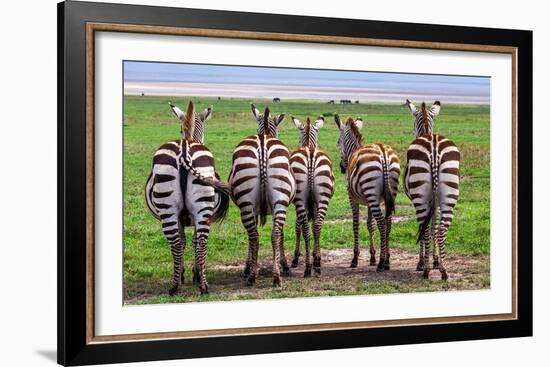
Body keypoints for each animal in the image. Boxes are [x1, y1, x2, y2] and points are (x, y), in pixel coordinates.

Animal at [144, 100, 231, 296]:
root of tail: (184, 149)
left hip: (172, 210)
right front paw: (192, 273)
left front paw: (187, 273)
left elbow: (186, 241)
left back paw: (179, 285)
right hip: (198, 209)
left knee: (180, 243)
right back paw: (201, 285)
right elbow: (190, 241)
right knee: (199, 242)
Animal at [229, 103, 298, 288]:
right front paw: (283, 265)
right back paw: (276, 276)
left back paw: (254, 275)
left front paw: (248, 267)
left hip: (248, 204)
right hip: (279, 200)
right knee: (274, 234)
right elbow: (280, 235)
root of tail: (263, 142)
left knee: (255, 236)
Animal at [292, 116, 334, 278]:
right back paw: (315, 265)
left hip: (301, 199)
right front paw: (318, 257)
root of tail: (310, 153)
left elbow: (297, 227)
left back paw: (309, 267)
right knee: (317, 226)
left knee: (306, 227)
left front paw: (295, 258)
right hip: (323, 198)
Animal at [334, 114, 404, 270]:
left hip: (371, 191)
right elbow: (369, 225)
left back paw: (381, 263)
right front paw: (372, 257)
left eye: (338, 142)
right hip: (386, 193)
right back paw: (387, 260)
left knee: (382, 223)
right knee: (388, 222)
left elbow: (356, 224)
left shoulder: (352, 198)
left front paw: (355, 258)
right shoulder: (370, 201)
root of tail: (383, 152)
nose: (342, 167)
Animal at [406, 99, 462, 280]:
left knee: (425, 229)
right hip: (449, 194)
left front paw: (424, 262)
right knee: (442, 229)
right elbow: (434, 227)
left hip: (420, 197)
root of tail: (435, 146)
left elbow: (426, 228)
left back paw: (425, 269)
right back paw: (443, 269)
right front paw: (436, 261)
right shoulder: (436, 203)